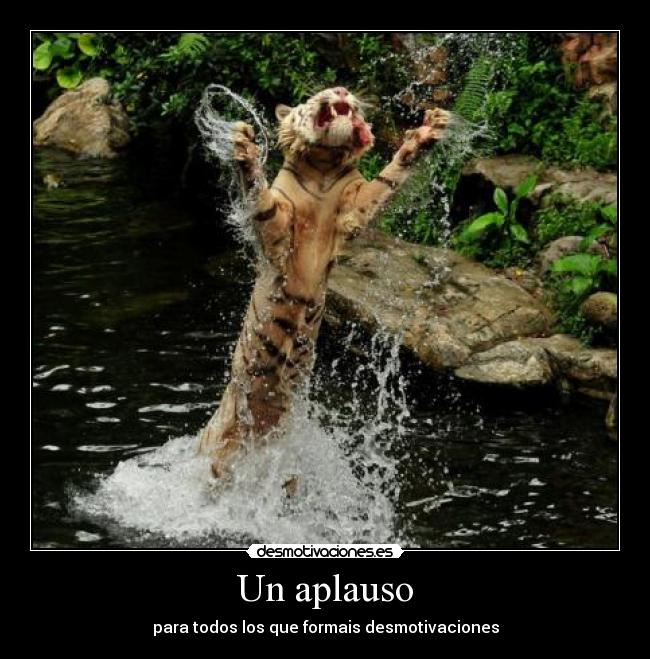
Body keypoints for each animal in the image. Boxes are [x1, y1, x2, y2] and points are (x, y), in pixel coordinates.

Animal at [198, 86, 450, 480]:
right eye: (317, 95)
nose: (341, 90)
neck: (323, 170)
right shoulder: (280, 232)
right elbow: (261, 200)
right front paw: (244, 148)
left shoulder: (355, 206)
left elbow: (388, 179)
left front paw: (427, 132)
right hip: (218, 448)